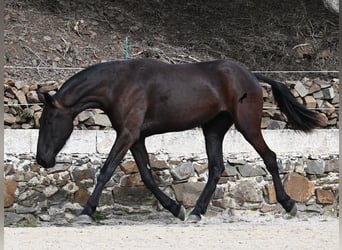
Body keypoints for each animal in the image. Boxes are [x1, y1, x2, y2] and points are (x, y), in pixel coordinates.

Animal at [36, 58, 324, 221]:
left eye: (47, 120)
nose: (42, 160)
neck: (119, 84)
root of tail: (251, 76)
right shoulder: (135, 138)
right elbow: (148, 177)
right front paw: (176, 208)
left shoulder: (127, 134)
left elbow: (106, 171)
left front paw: (86, 212)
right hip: (213, 130)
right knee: (216, 168)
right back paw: (196, 211)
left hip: (247, 126)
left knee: (270, 158)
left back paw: (289, 204)